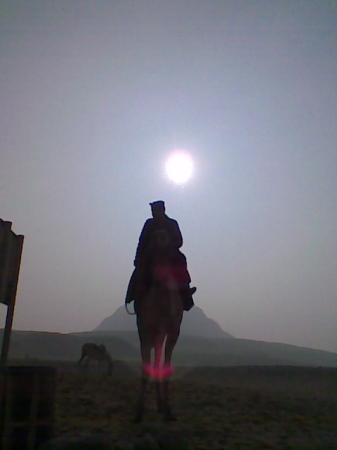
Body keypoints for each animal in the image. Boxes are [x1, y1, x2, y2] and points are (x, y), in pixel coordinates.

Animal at [131, 230, 184, 424]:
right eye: (153, 237)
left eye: (170, 238)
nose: (161, 244)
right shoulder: (145, 330)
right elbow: (144, 369)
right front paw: (138, 412)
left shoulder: (173, 331)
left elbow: (165, 368)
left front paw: (168, 410)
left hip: (161, 335)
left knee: (158, 361)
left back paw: (161, 405)